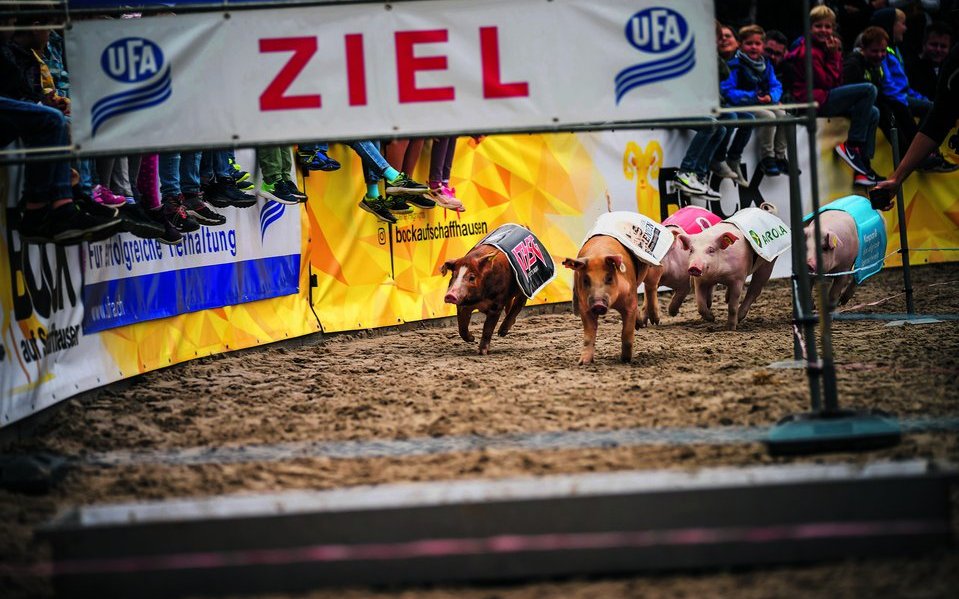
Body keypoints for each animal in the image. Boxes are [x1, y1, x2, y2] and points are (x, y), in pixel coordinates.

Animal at [564, 234, 652, 366]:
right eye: (585, 280)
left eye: (609, 278)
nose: (598, 304)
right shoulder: (584, 306)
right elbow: (588, 337)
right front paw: (583, 363)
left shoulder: (630, 300)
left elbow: (627, 333)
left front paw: (625, 360)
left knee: (652, 286)